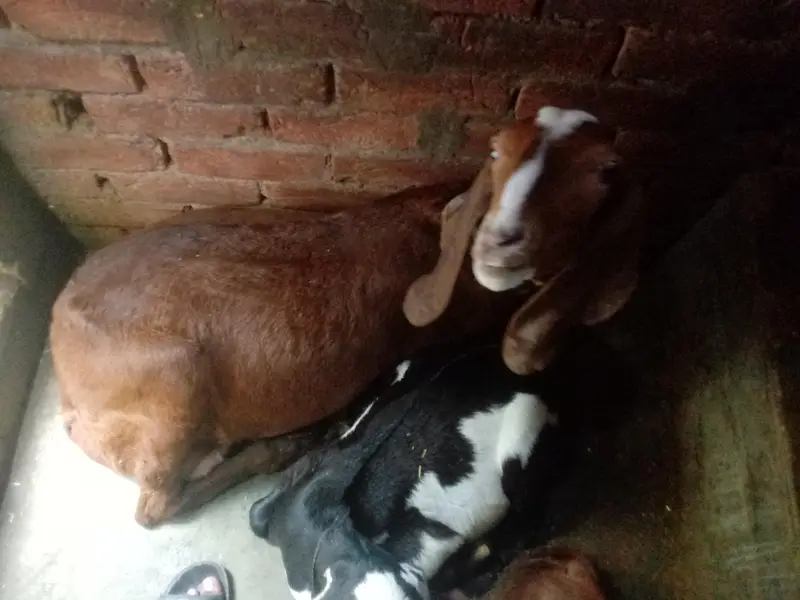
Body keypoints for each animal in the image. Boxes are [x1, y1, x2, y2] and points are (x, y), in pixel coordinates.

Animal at [49, 106, 644, 527]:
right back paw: (282, 446)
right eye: (496, 151)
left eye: (607, 171)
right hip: (174, 387)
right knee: (154, 507)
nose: (501, 242)